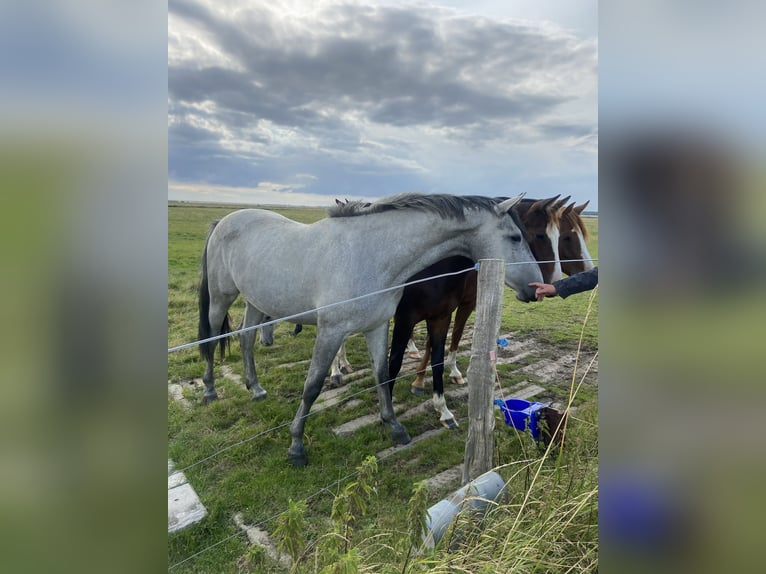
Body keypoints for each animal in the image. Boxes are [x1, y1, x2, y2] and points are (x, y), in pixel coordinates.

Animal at [197, 193, 543, 465]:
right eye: (515, 237)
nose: (536, 287)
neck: (371, 255)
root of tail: (223, 220)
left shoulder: (377, 327)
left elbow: (382, 374)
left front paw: (394, 426)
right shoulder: (331, 331)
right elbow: (313, 386)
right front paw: (296, 446)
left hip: (256, 301)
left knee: (246, 339)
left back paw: (255, 387)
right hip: (221, 297)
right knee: (213, 341)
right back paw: (210, 390)